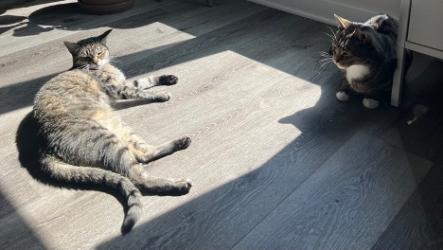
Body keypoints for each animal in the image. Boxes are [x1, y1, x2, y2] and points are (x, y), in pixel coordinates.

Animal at [33, 29, 193, 234]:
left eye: (99, 52)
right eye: (86, 56)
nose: (95, 62)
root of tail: (43, 149)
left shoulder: (124, 83)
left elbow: (144, 80)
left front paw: (168, 78)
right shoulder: (118, 89)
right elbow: (140, 91)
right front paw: (161, 94)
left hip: (118, 128)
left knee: (142, 154)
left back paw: (181, 142)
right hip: (108, 139)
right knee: (139, 177)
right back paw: (179, 184)